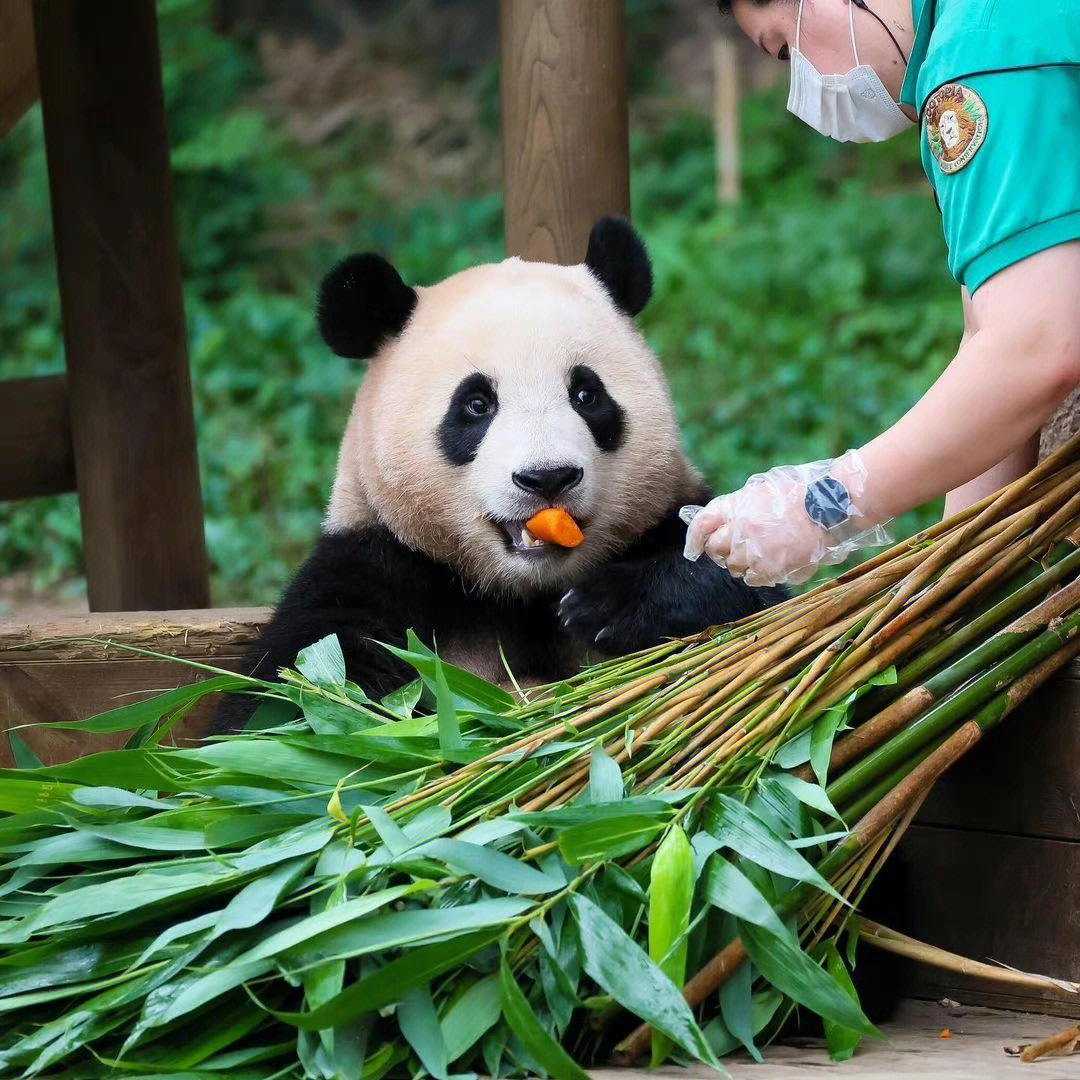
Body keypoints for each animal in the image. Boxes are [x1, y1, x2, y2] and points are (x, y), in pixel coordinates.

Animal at [212, 217, 786, 734]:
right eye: (475, 404)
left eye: (586, 394)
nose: (547, 477)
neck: (521, 592)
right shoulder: (376, 563)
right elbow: (294, 695)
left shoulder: (662, 519)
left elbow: (747, 594)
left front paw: (606, 607)